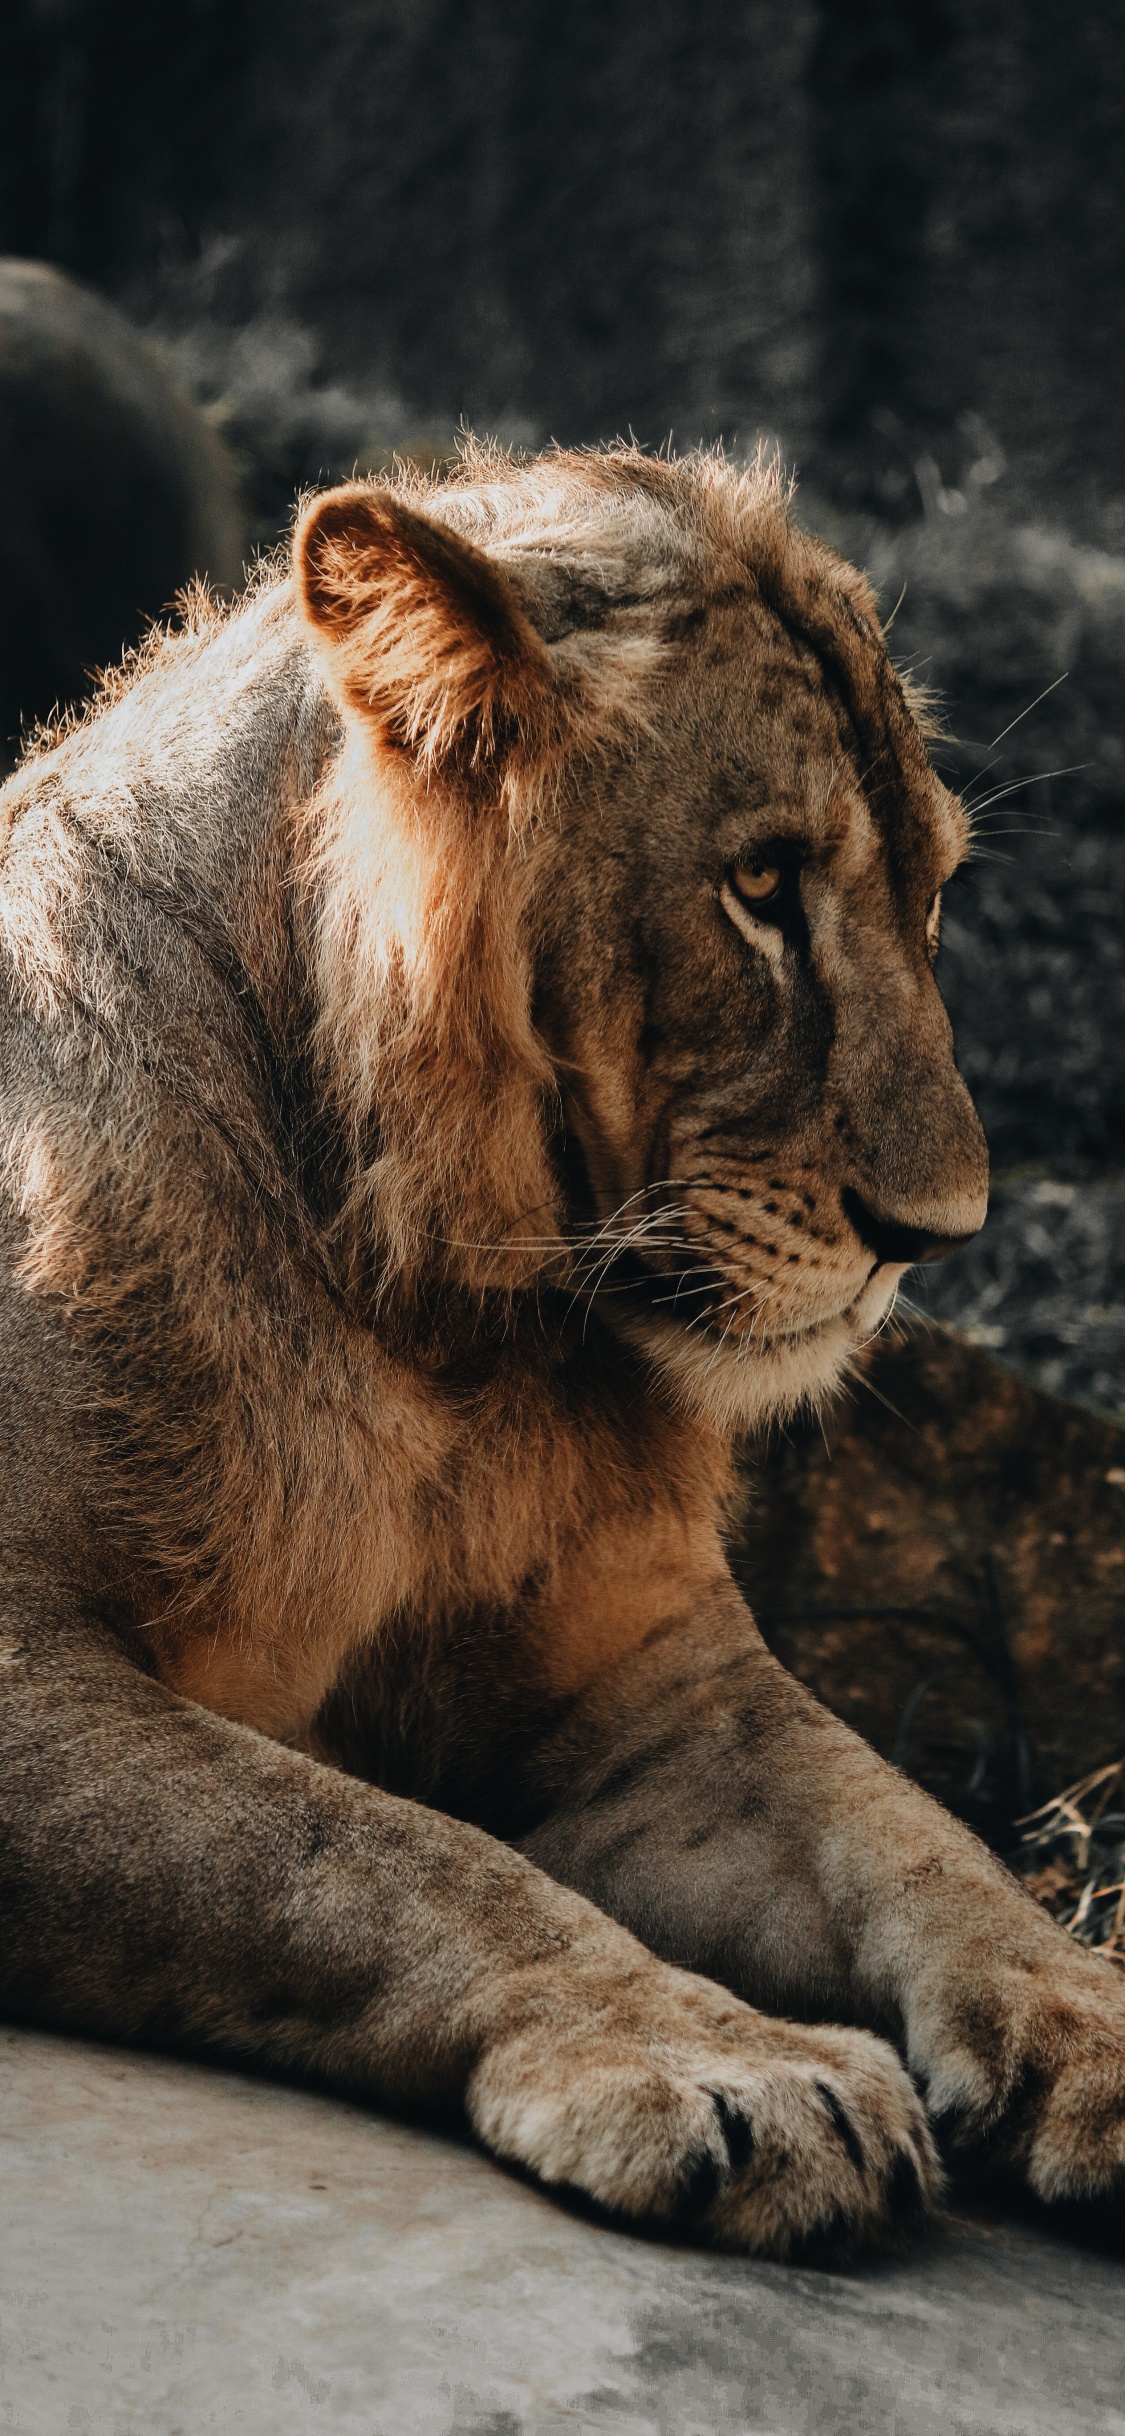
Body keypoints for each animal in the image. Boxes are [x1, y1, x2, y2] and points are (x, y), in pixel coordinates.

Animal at [1, 444, 1122, 2263]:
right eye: (762, 885)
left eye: (935, 892)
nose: (941, 1235)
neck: (432, 1323)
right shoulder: (19, 1663)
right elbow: (378, 1852)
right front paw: (726, 2063)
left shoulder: (652, 1687)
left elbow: (914, 1829)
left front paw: (1090, 2022)